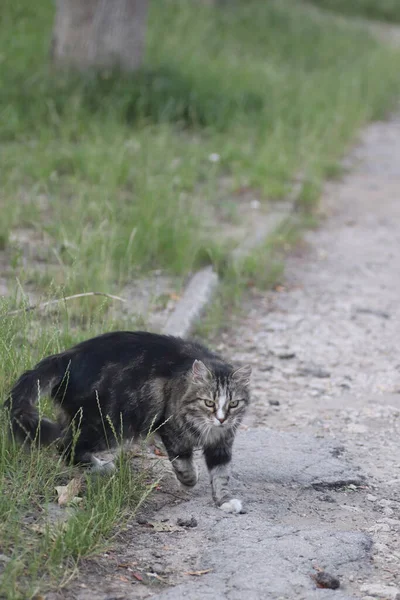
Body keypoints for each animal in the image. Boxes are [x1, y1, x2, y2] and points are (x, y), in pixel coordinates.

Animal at [5, 330, 250, 512]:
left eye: (233, 404)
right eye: (209, 403)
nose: (221, 419)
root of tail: (65, 358)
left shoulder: (222, 442)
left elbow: (221, 474)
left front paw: (224, 500)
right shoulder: (171, 430)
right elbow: (183, 463)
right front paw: (190, 480)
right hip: (109, 425)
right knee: (66, 447)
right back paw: (102, 467)